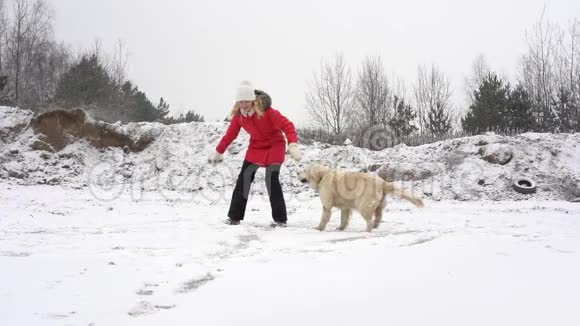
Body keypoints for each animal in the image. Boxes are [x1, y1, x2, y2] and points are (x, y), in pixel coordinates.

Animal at [296, 163, 424, 232]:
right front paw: (340, 228)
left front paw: (318, 228)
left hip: (364, 204)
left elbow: (324, 216)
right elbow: (344, 217)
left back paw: (367, 230)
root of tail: (382, 182)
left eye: (304, 170)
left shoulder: (327, 202)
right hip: (379, 204)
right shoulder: (345, 206)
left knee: (369, 220)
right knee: (378, 216)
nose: (297, 173)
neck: (322, 176)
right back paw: (376, 226)